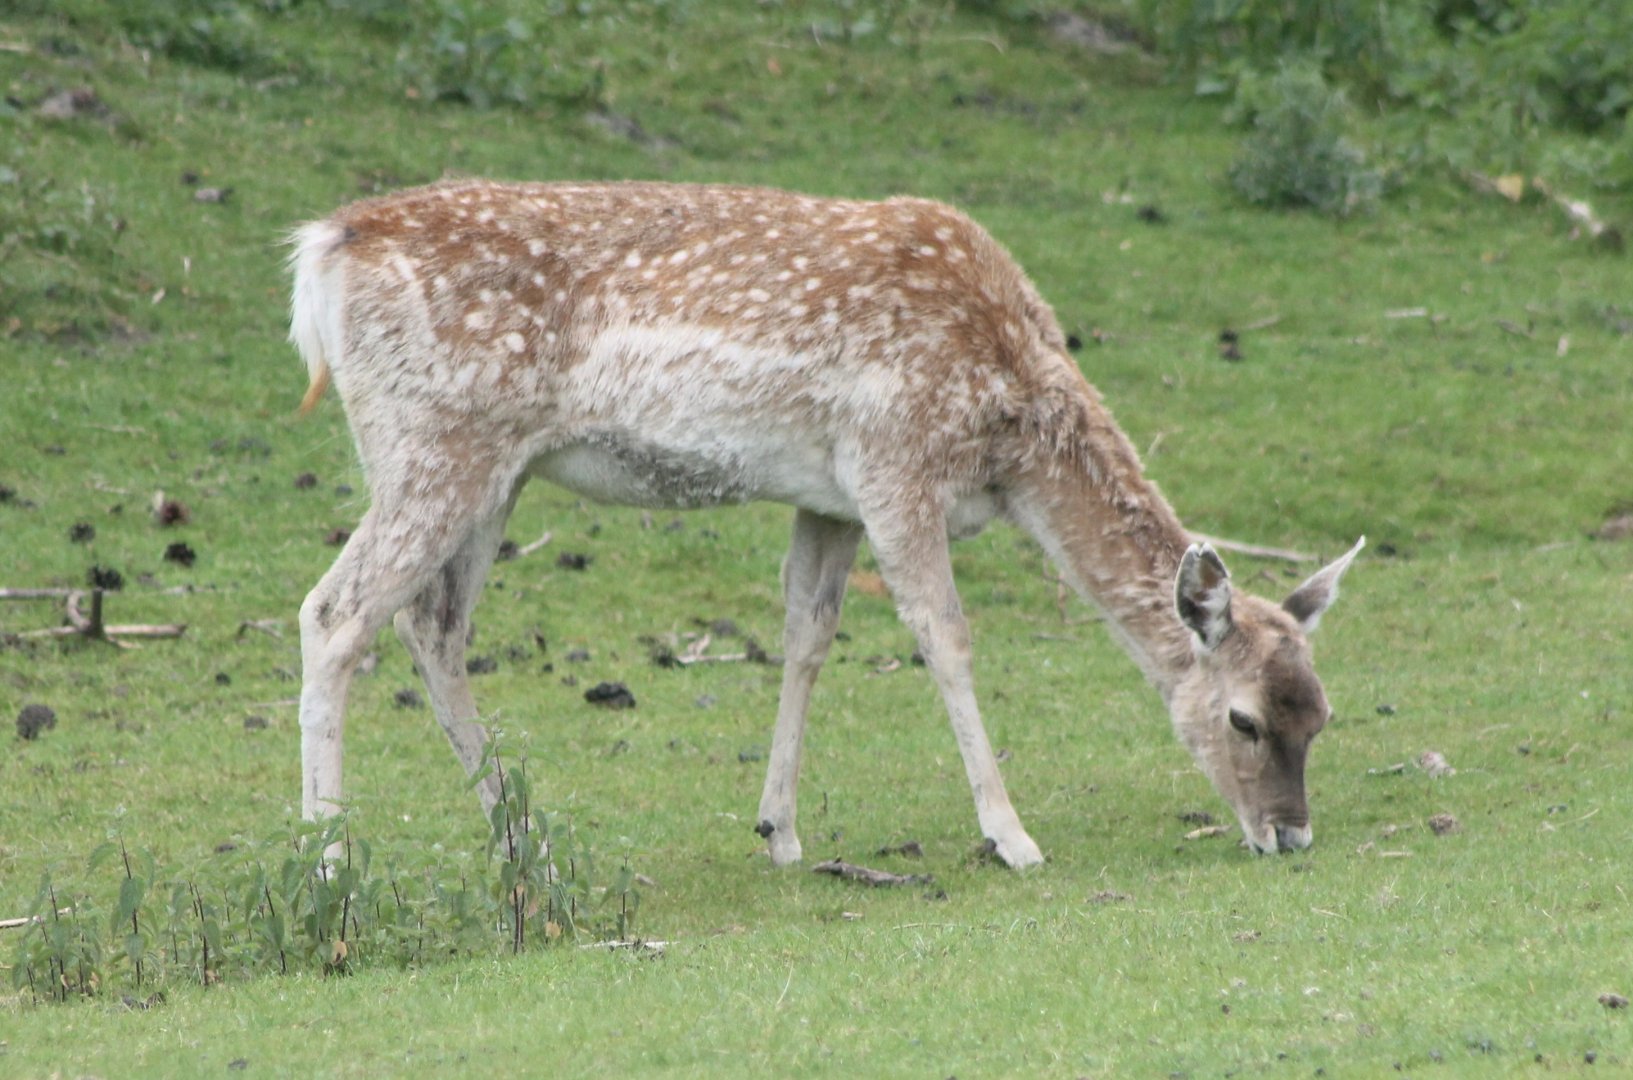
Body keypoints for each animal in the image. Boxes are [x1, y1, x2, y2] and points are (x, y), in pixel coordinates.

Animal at [287, 178, 1363, 869]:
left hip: (491, 469)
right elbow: (944, 636)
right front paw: (1011, 836)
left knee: (433, 627)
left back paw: (521, 839)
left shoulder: (828, 495)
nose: (1290, 835)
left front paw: (780, 831)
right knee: (333, 612)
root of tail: (323, 251)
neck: (1010, 430)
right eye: (1244, 718)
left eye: (1320, 714)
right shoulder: (894, 459)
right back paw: (330, 863)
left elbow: (807, 634)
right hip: (431, 442)